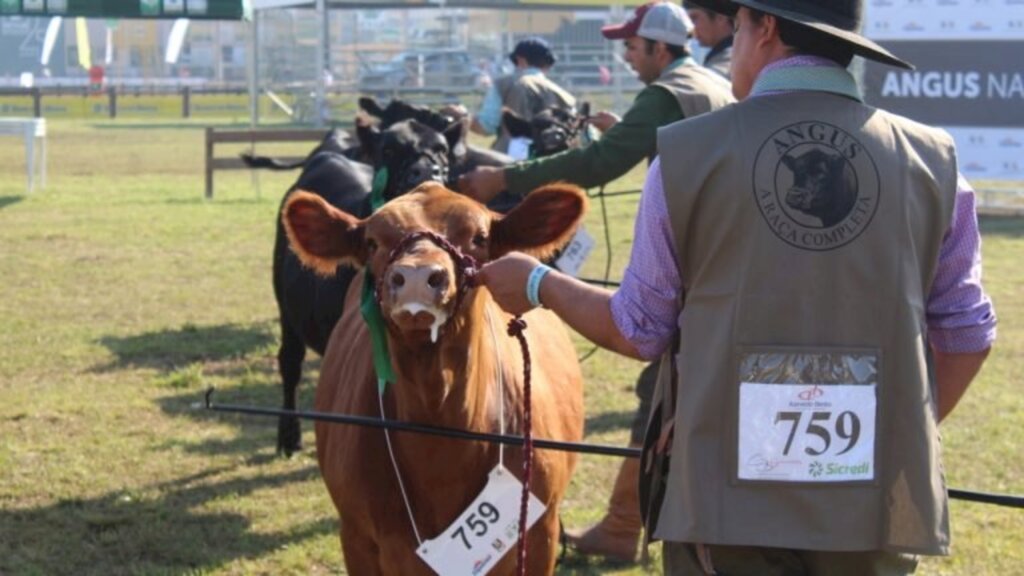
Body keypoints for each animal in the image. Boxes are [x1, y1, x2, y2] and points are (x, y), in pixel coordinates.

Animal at [274, 116, 462, 453]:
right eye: (389, 149)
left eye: (442, 150)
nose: (427, 172)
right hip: (286, 311)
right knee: (289, 363)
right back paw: (288, 436)